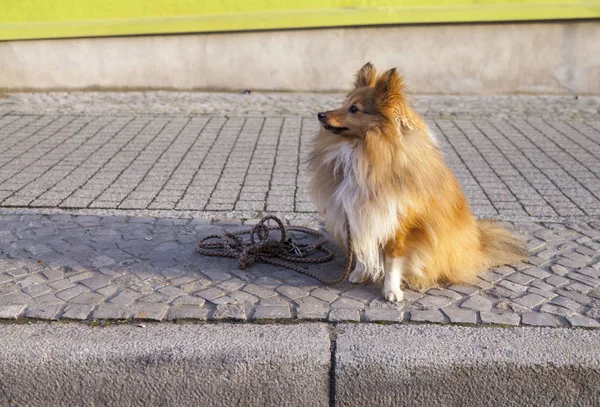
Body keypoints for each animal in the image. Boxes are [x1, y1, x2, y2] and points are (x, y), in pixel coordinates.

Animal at [308, 62, 528, 302]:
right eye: (344, 103)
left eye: (354, 109)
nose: (320, 115)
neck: (366, 150)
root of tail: (479, 243)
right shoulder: (358, 214)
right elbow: (361, 246)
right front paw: (360, 273)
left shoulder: (399, 223)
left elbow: (393, 260)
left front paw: (391, 291)